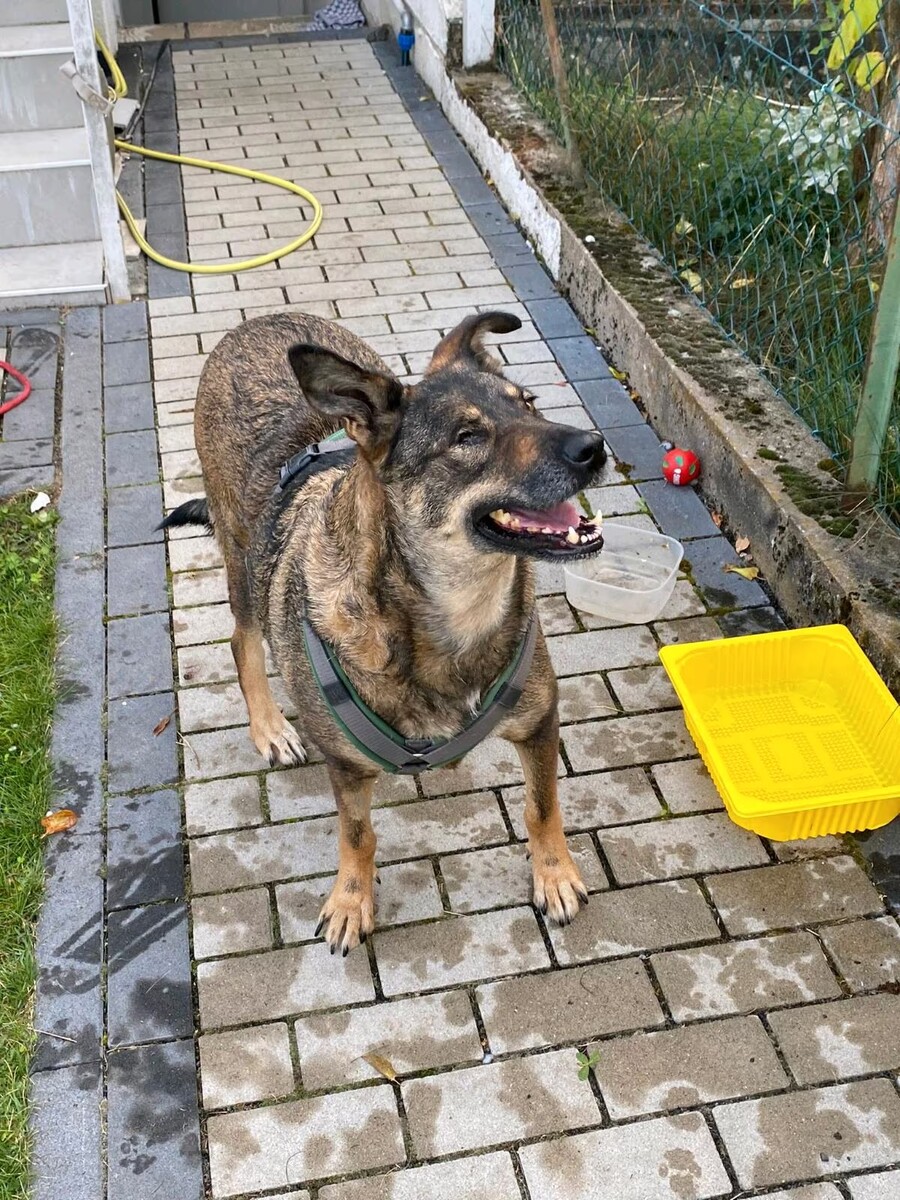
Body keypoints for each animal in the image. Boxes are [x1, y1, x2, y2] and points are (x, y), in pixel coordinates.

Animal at [163, 310, 607, 955]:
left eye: (528, 403)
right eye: (467, 438)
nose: (593, 447)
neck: (455, 612)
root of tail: (263, 320)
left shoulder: (540, 720)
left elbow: (542, 806)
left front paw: (555, 875)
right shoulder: (346, 766)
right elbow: (357, 834)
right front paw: (352, 900)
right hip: (242, 566)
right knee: (242, 641)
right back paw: (270, 728)